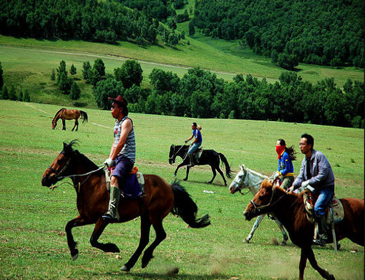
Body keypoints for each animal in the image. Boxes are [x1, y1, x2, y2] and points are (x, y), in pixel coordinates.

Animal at [41, 140, 209, 272]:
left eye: (60, 160)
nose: (44, 179)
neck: (92, 185)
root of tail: (169, 186)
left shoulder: (102, 219)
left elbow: (93, 240)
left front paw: (112, 247)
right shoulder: (86, 217)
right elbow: (68, 226)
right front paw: (73, 250)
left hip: (154, 216)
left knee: (161, 235)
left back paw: (144, 258)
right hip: (145, 217)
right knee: (144, 240)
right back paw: (129, 264)